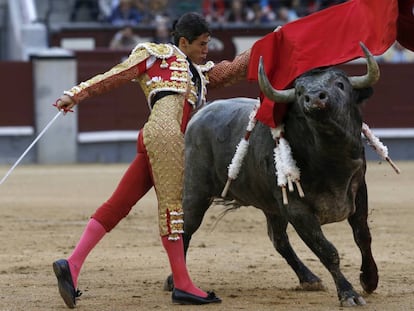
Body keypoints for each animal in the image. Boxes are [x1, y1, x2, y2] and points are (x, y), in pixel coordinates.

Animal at [174, 42, 378, 308]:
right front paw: (348, 294)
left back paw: (308, 278)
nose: (314, 98)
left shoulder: (358, 190)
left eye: (340, 84)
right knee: (186, 228)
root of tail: (200, 114)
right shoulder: (297, 209)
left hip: (270, 205)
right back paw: (176, 283)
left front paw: (370, 279)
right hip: (195, 192)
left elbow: (362, 236)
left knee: (278, 239)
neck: (330, 159)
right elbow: (327, 250)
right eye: (299, 91)